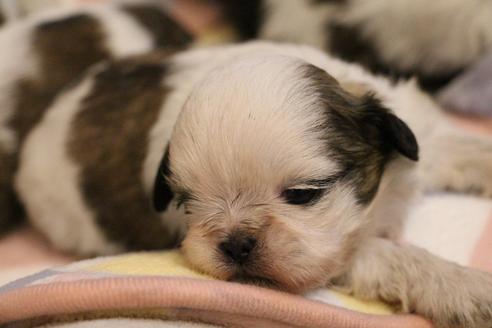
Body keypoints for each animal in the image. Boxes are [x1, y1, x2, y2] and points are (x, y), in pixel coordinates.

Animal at [0, 36, 492, 326]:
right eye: (189, 202)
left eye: (302, 194)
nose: (236, 243)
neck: (384, 190)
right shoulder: (339, 253)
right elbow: (390, 256)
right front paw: (466, 288)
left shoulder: (420, 137)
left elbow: (459, 146)